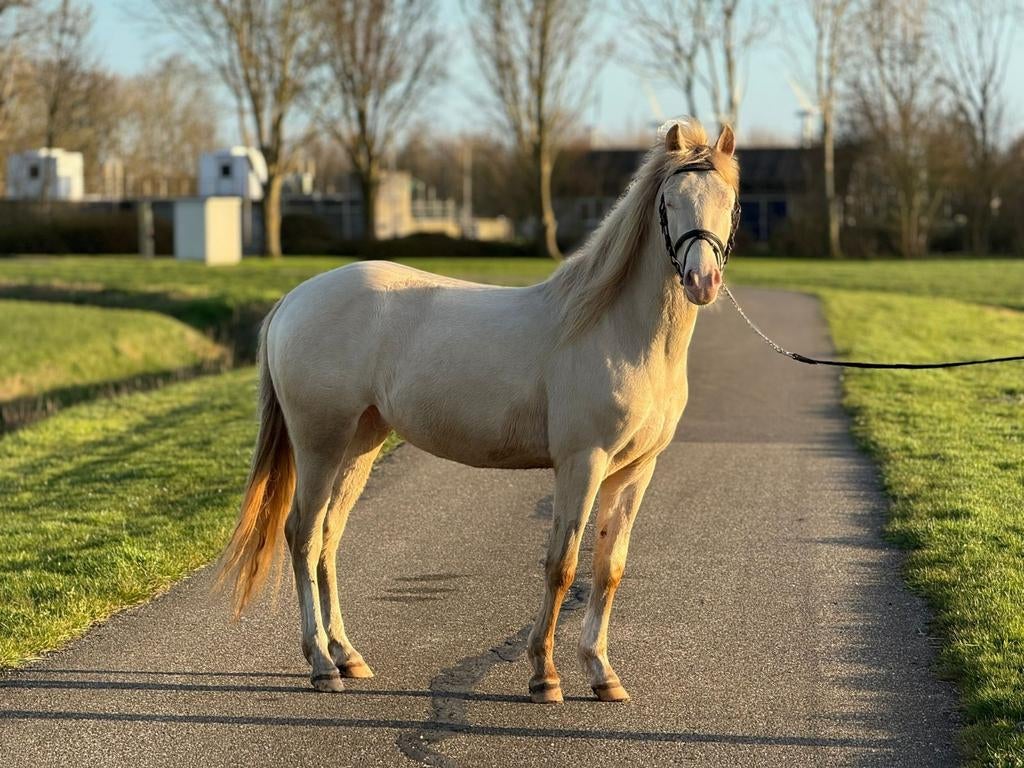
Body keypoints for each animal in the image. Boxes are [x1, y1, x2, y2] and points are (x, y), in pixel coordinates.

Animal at [219, 119, 740, 704]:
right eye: (669, 202)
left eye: (730, 200)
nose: (702, 282)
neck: (615, 330)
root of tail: (293, 299)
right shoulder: (582, 463)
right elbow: (561, 565)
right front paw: (544, 675)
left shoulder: (634, 471)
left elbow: (609, 569)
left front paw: (602, 673)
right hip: (319, 442)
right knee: (303, 536)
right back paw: (320, 664)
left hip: (360, 442)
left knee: (329, 536)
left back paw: (347, 655)